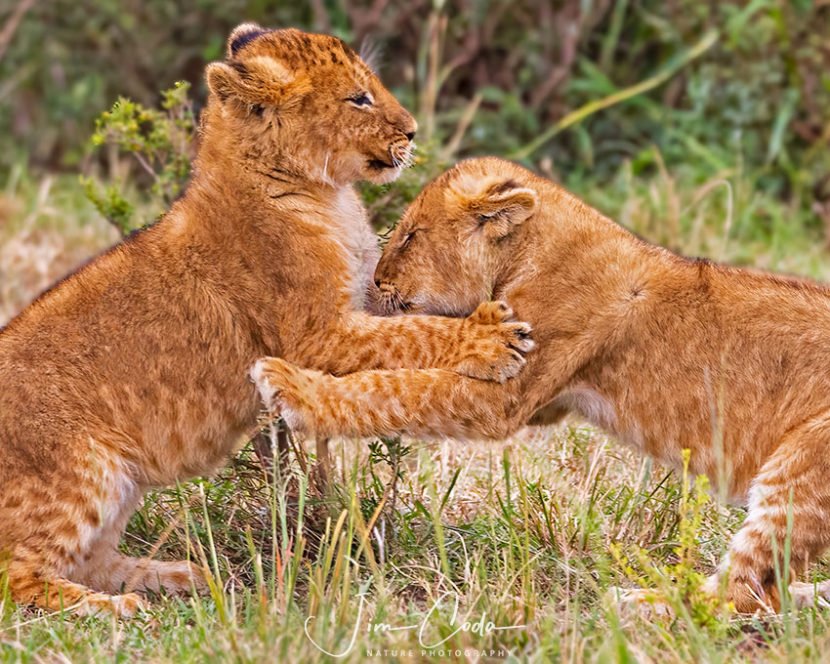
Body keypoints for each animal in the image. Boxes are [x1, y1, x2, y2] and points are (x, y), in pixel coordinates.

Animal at [0, 31, 533, 618]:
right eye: (359, 99)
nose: (413, 131)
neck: (326, 195)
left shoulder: (366, 299)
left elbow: (414, 318)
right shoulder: (317, 336)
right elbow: (414, 335)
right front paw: (491, 338)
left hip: (121, 487)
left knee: (89, 561)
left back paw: (177, 577)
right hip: (78, 472)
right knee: (17, 578)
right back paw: (114, 607)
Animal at [254, 155, 830, 614]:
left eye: (411, 235)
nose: (374, 281)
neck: (535, 247)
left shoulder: (502, 399)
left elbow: (394, 387)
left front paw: (288, 386)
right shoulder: (543, 400)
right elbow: (407, 355)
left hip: (801, 466)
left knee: (744, 594)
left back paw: (644, 601)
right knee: (769, 592)